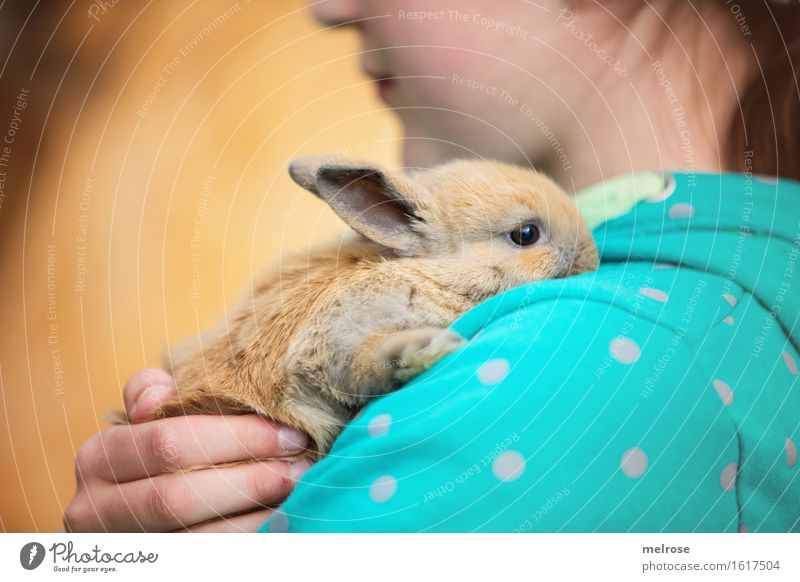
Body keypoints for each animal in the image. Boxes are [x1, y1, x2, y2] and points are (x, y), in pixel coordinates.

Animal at [156, 157, 596, 458]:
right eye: (526, 234)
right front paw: (425, 348)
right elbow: (364, 360)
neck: (434, 274)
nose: (592, 257)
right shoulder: (332, 335)